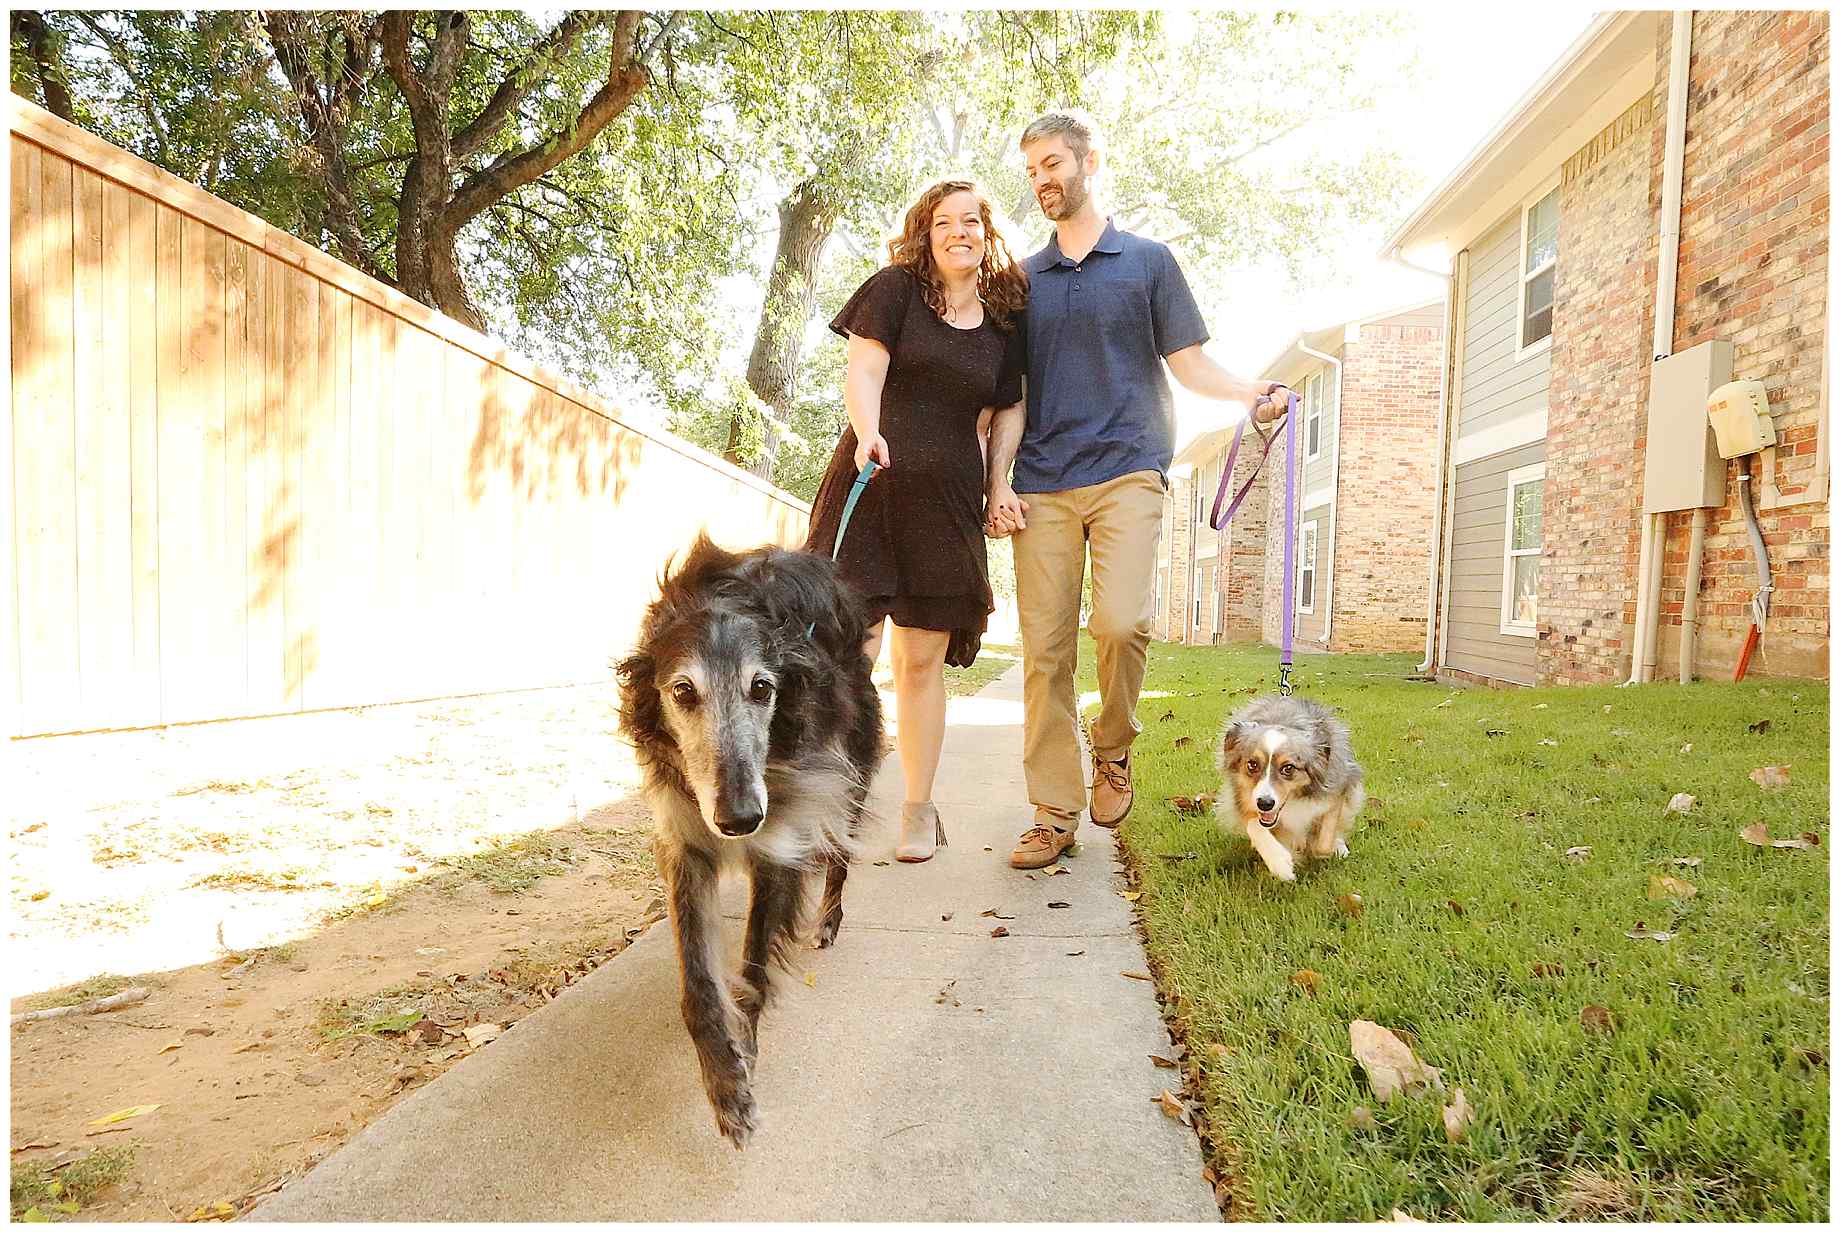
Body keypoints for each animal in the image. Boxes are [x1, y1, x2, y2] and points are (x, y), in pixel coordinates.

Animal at [614, 537, 879, 1155]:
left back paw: (829, 920)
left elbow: (754, 973)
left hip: (848, 774)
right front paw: (724, 1084)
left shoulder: (781, 838)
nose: (738, 820)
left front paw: (744, 1066)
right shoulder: (686, 842)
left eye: (763, 688)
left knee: (839, 856)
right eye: (682, 691)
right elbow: (699, 990)